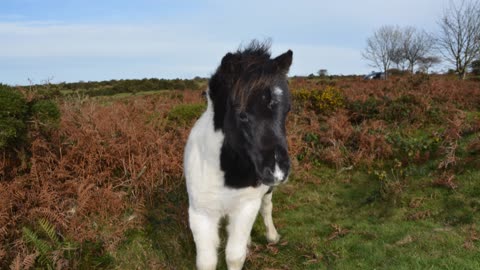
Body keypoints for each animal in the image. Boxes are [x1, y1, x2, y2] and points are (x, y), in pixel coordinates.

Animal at [185, 42, 292, 270]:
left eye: (287, 109)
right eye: (241, 114)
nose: (278, 171)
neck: (225, 172)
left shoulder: (246, 207)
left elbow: (235, 256)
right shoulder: (200, 214)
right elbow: (206, 261)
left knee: (266, 207)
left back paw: (271, 236)